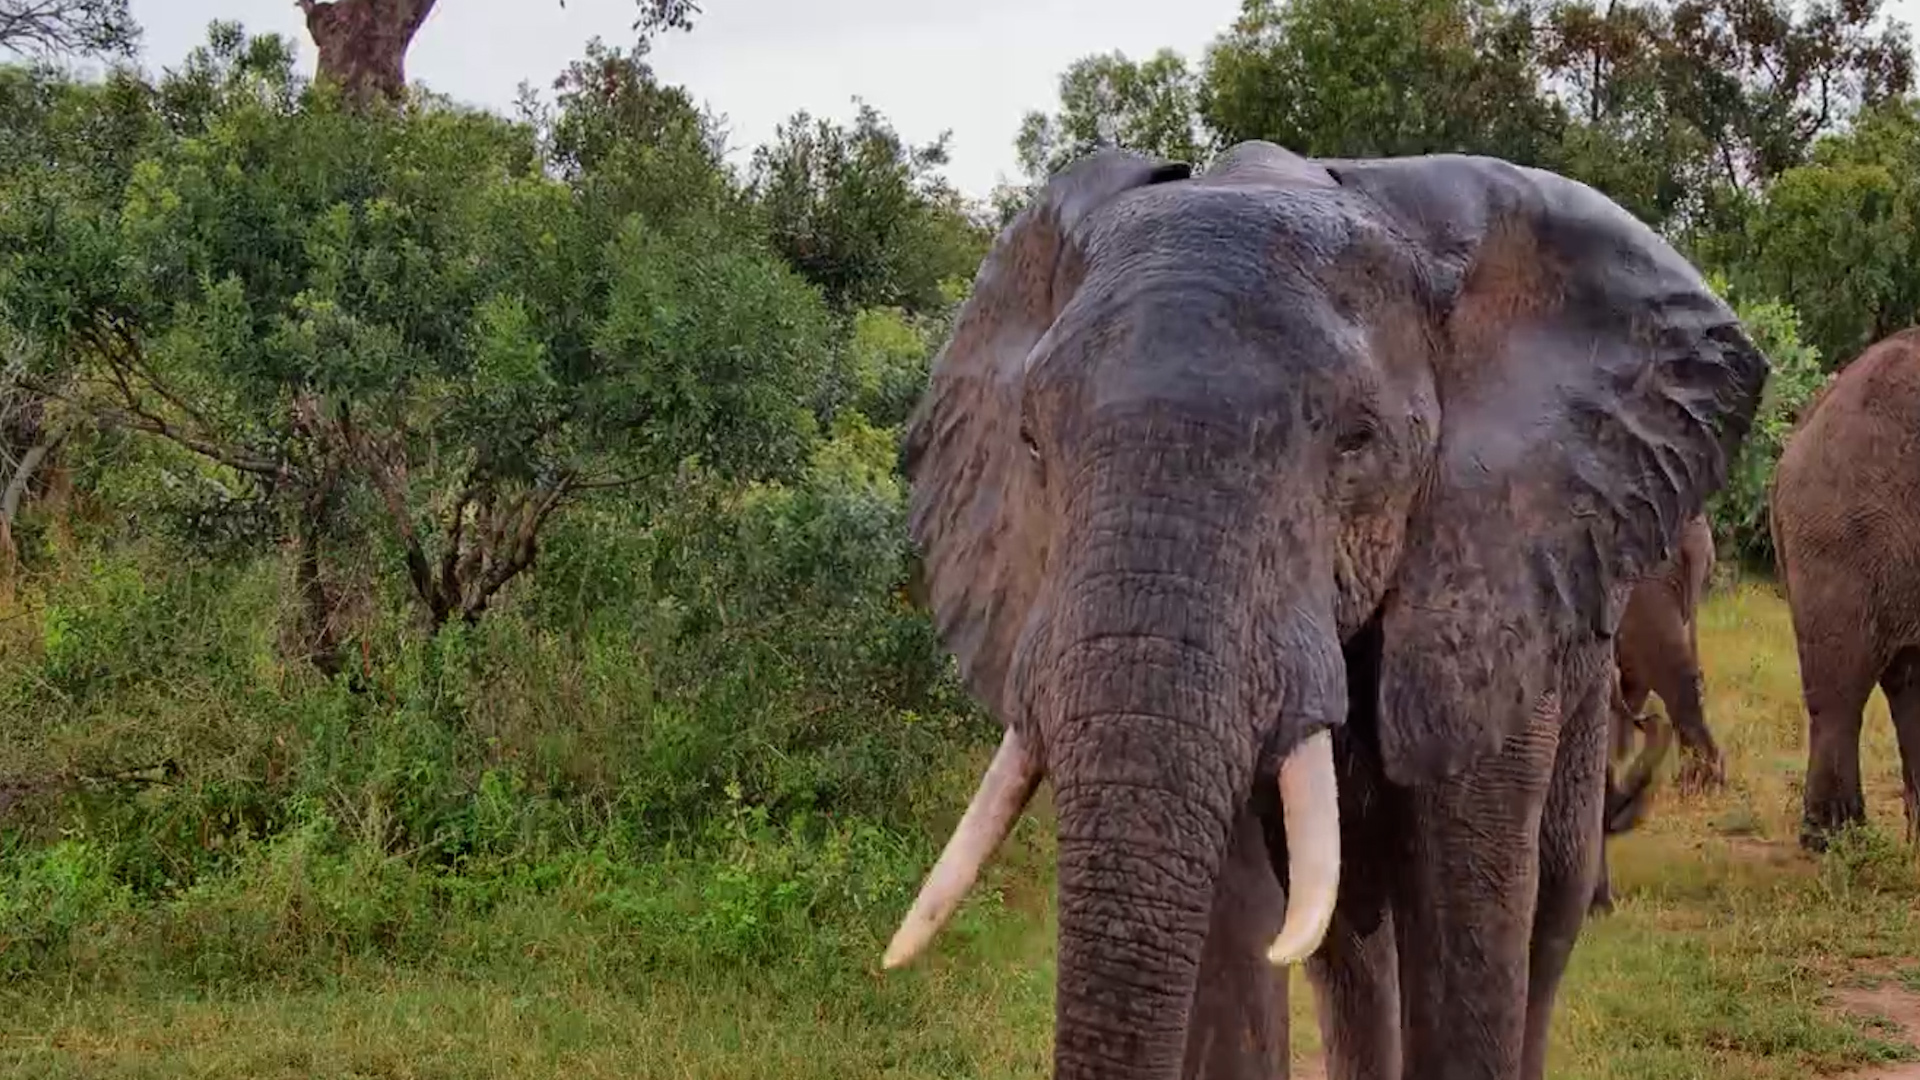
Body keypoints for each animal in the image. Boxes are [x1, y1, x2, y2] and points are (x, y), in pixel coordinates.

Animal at [881, 142, 1768, 1080]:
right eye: (1030, 442)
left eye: (1357, 440)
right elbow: (1239, 943)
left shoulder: (1487, 590)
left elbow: (1470, 920)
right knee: (1347, 944)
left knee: (1549, 905)